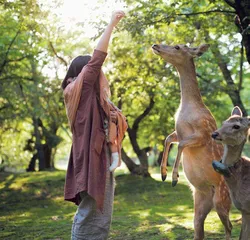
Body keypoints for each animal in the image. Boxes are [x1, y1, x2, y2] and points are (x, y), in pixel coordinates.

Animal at [152, 43, 232, 240]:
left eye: (177, 47)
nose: (156, 45)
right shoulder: (178, 132)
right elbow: (167, 139)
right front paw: (163, 173)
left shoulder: (204, 133)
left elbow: (180, 145)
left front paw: (174, 178)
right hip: (200, 203)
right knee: (199, 229)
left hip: (222, 199)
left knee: (229, 226)